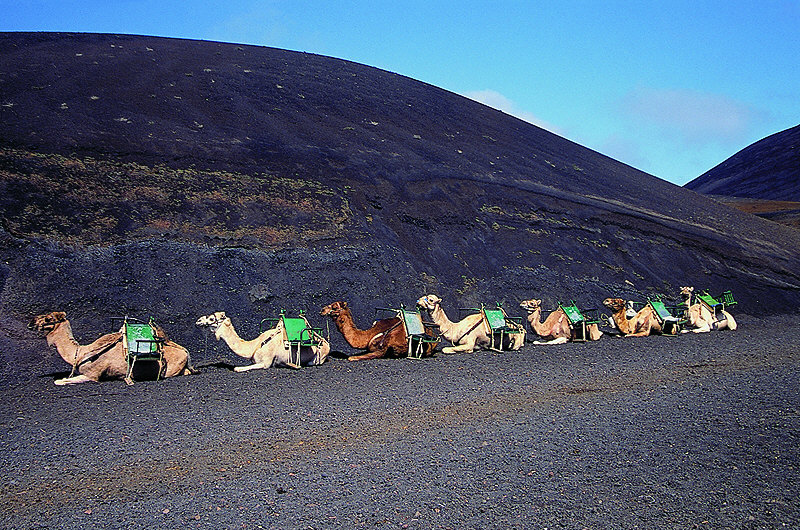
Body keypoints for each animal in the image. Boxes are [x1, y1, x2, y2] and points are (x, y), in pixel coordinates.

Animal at [29, 310, 192, 384]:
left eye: (48, 319)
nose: (31, 322)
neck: (81, 352)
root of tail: (185, 351)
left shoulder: (92, 375)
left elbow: (60, 381)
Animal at [195, 310, 330, 368]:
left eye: (212, 318)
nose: (198, 321)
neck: (254, 346)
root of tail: (326, 343)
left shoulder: (265, 363)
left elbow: (237, 368)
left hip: (319, 356)